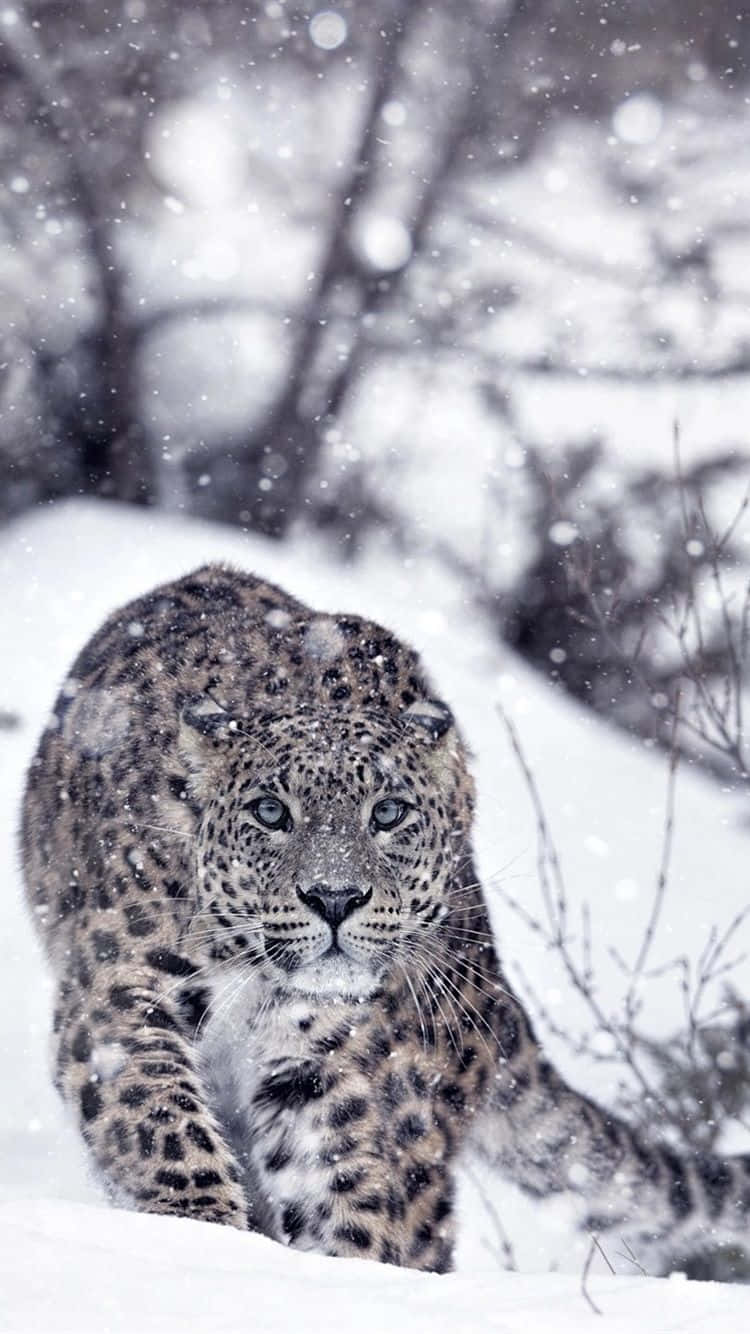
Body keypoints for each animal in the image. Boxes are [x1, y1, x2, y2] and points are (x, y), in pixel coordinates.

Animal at [19, 560, 747, 1269]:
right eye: (270, 812)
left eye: (389, 812)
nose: (335, 897)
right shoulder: (122, 989)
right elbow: (158, 1116)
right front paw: (204, 1228)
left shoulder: (324, 1061)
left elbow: (340, 1183)